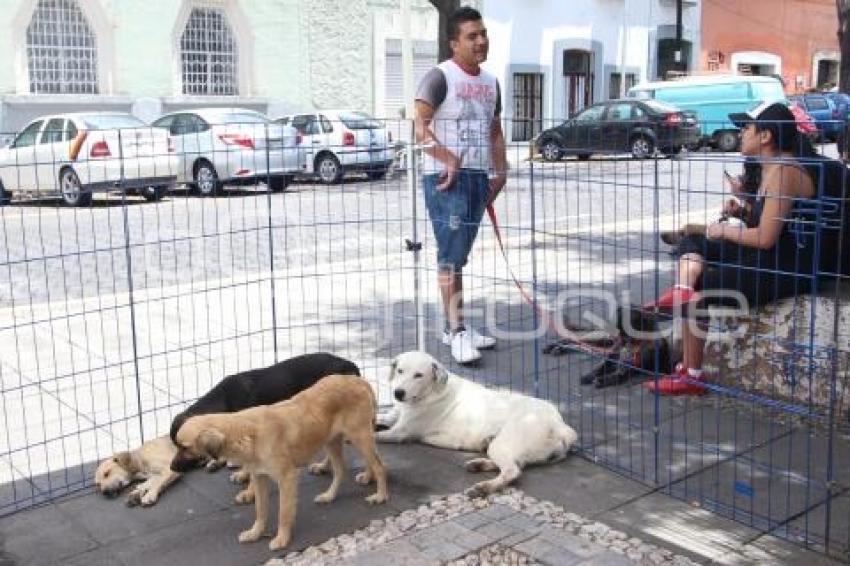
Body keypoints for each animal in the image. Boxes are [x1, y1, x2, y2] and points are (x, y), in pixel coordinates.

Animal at [170, 374, 388, 552]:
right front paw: (255, 533)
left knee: (379, 465)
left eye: (184, 447)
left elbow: (283, 512)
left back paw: (380, 495)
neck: (246, 433)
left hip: (359, 436)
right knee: (341, 470)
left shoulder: (287, 478)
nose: (171, 467)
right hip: (333, 441)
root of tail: (357, 380)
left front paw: (282, 539)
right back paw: (330, 495)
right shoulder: (259, 477)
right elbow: (260, 510)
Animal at [376, 350, 576, 496]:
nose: (398, 393)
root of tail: (559, 424)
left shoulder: (400, 433)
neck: (432, 391)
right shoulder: (393, 417)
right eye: (400, 370)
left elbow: (375, 435)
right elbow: (380, 417)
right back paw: (478, 464)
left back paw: (485, 487)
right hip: (504, 447)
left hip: (504, 443)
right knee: (516, 464)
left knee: (513, 471)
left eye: (418, 375)